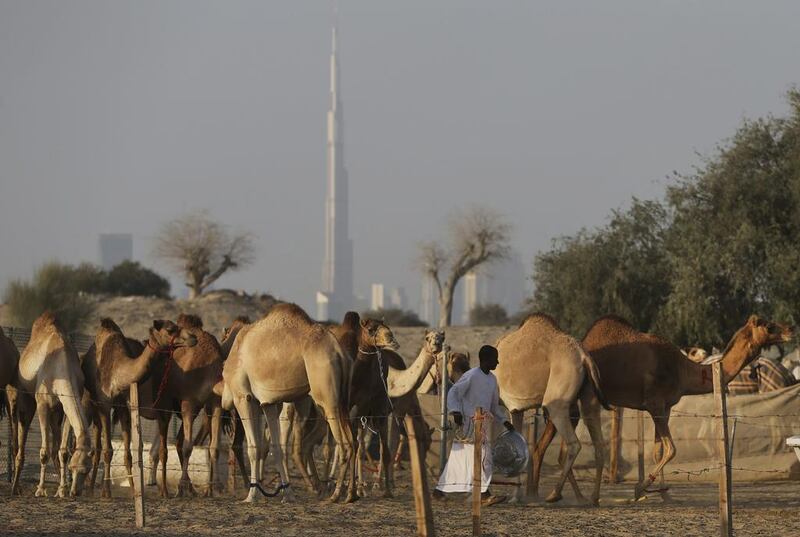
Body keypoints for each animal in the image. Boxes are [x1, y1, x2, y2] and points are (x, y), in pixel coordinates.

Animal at [11, 312, 93, 496]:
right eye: (74, 468)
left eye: (87, 470)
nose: (76, 492)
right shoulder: (43, 404)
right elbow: (44, 451)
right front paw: (40, 490)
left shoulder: (68, 402)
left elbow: (63, 451)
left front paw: (62, 490)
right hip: (27, 397)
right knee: (23, 428)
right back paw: (15, 487)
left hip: (57, 412)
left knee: (56, 445)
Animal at [81, 316, 198, 496]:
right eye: (170, 329)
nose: (193, 338)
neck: (118, 372)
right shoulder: (105, 405)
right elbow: (108, 450)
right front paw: (107, 492)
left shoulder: (123, 406)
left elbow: (129, 453)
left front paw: (134, 489)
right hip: (90, 402)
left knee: (99, 444)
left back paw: (93, 487)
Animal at [494, 312, 608, 504]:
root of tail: (583, 356)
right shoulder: (516, 410)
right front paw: (515, 497)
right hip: (589, 399)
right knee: (598, 442)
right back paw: (593, 498)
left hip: (557, 403)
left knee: (574, 444)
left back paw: (555, 494)